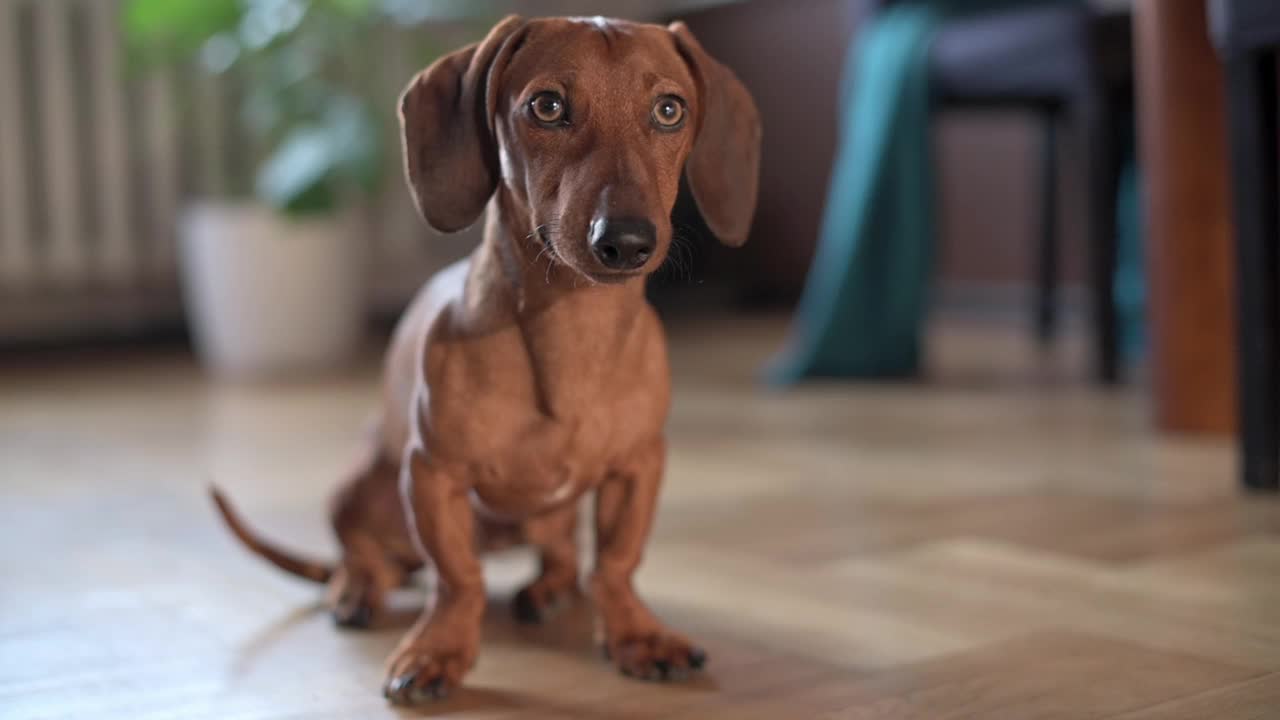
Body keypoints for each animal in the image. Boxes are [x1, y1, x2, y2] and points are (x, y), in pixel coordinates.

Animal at [212, 14, 757, 702]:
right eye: (547, 106)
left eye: (669, 110)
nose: (627, 240)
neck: (569, 332)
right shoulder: (432, 474)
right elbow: (458, 579)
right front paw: (438, 648)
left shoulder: (638, 467)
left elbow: (615, 562)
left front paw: (636, 633)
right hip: (360, 484)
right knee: (364, 552)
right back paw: (357, 587)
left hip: (552, 513)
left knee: (560, 556)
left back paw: (547, 590)